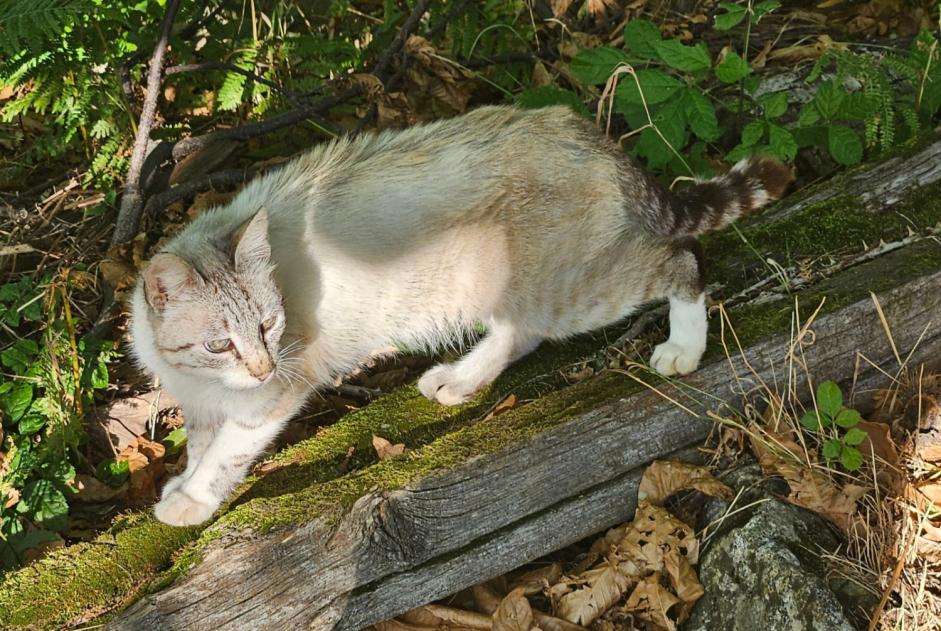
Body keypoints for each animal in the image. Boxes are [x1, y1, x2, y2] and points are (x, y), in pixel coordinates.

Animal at [130, 106, 792, 524]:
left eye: (268, 327)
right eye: (220, 344)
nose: (262, 367)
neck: (198, 378)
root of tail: (585, 131)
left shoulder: (273, 396)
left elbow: (225, 455)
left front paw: (192, 500)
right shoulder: (207, 399)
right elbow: (201, 445)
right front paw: (183, 482)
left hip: (575, 288)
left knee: (680, 259)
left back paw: (684, 347)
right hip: (508, 286)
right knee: (519, 333)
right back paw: (459, 380)